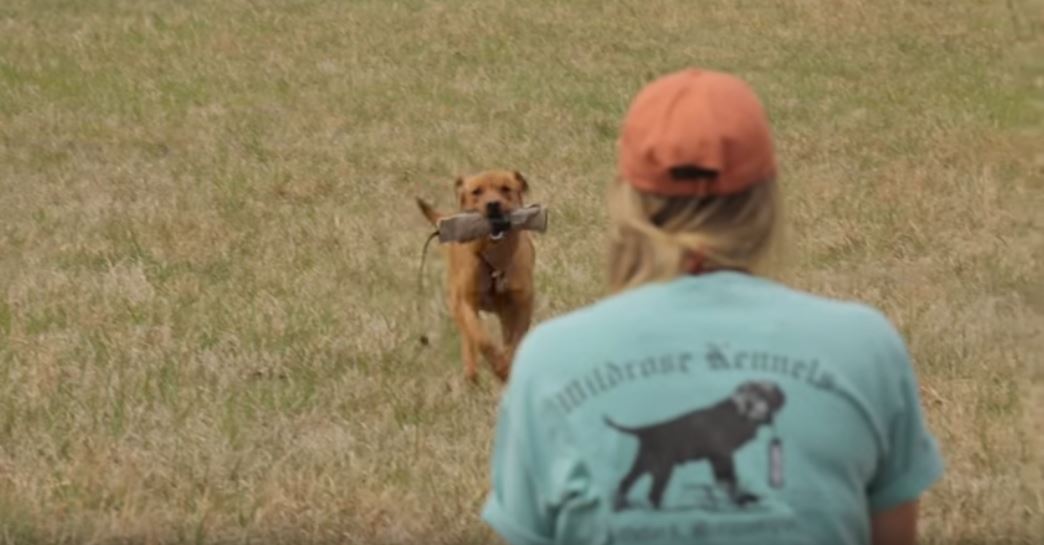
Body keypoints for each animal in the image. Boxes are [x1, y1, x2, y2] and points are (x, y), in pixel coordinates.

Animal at [413, 169, 534, 382]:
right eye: (476, 191)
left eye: (506, 188)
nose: (493, 204)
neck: (494, 261)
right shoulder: (467, 304)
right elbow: (481, 337)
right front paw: (500, 366)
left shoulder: (522, 303)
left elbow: (515, 340)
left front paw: (508, 364)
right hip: (456, 304)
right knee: (468, 340)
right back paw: (471, 374)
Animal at [605, 377, 785, 509]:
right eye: (751, 394)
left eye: (764, 393)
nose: (754, 407)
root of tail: (647, 429)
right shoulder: (722, 455)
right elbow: (729, 480)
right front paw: (742, 499)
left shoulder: (718, 457)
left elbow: (727, 480)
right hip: (662, 466)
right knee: (652, 492)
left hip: (645, 463)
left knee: (626, 482)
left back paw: (621, 505)